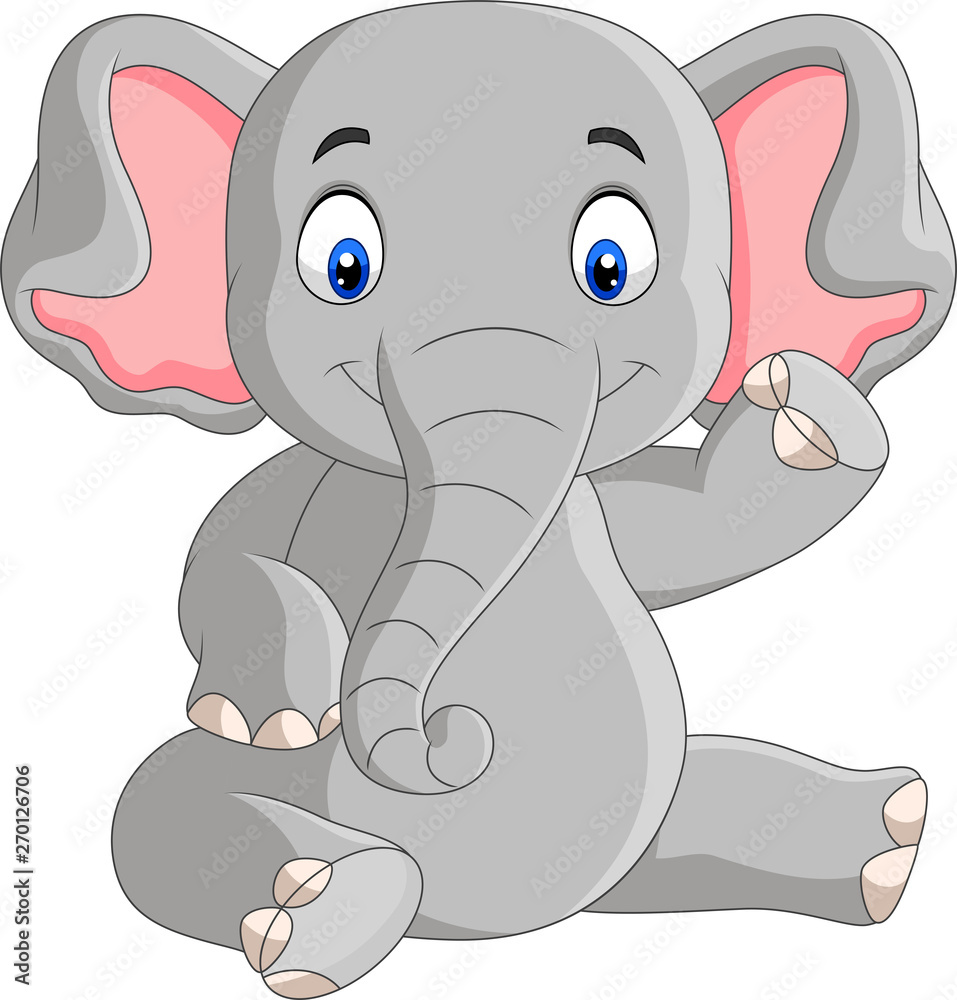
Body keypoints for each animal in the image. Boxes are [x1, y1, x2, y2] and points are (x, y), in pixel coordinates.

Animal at [3, 3, 954, 996]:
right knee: (164, 810)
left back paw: (888, 838)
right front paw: (277, 715)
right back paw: (325, 906)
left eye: (611, 264)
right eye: (342, 264)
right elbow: (215, 564)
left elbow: (711, 523)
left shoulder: (599, 509)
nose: (451, 733)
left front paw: (804, 399)